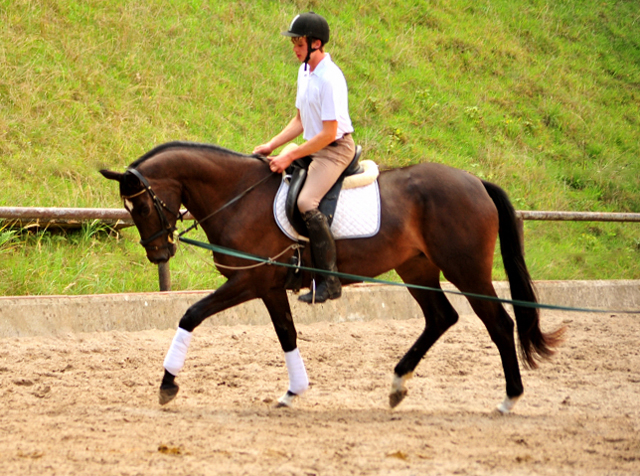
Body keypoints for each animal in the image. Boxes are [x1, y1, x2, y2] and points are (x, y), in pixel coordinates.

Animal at [101, 140, 564, 412]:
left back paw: (509, 399)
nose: (159, 253)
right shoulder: (269, 287)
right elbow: (286, 334)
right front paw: (293, 391)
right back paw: (397, 384)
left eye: (140, 205)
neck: (238, 197)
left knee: (499, 324)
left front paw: (167, 384)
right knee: (440, 317)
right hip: (416, 267)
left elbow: (191, 315)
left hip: (465, 270)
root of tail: (476, 182)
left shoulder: (249, 282)